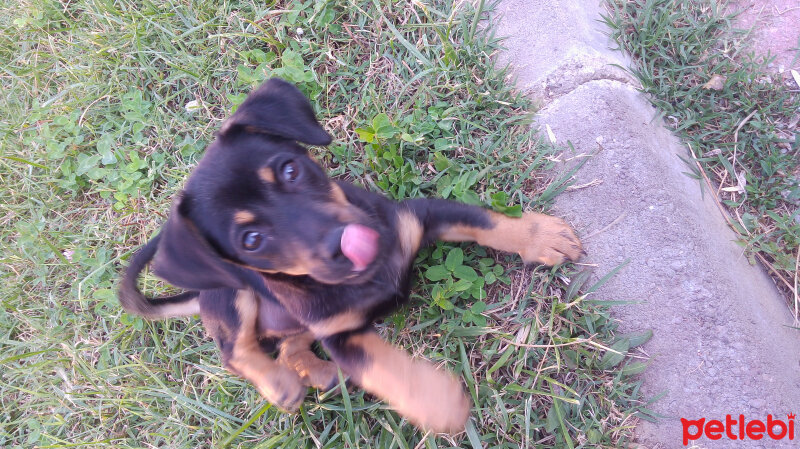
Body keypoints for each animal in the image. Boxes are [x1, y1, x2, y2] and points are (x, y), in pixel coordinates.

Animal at [119, 78, 580, 434]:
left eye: (290, 170)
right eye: (251, 239)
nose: (344, 241)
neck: (372, 276)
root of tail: (198, 295)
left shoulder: (421, 215)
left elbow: (488, 221)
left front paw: (543, 237)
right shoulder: (341, 336)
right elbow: (383, 367)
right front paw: (440, 402)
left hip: (295, 321)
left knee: (287, 347)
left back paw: (316, 372)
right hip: (234, 296)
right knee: (235, 351)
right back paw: (281, 384)